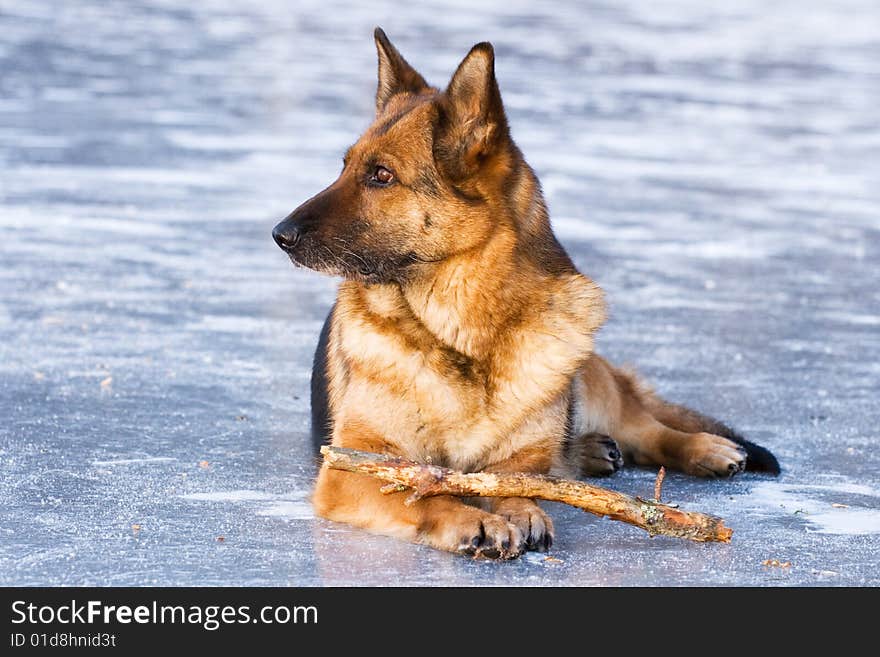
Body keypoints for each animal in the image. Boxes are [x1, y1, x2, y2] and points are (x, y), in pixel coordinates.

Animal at [274, 26, 776, 560]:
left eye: (381, 175)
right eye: (345, 166)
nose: (279, 234)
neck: (463, 332)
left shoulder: (515, 461)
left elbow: (516, 481)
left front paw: (519, 510)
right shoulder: (351, 469)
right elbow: (426, 492)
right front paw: (472, 519)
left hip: (589, 380)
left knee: (645, 425)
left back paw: (701, 447)